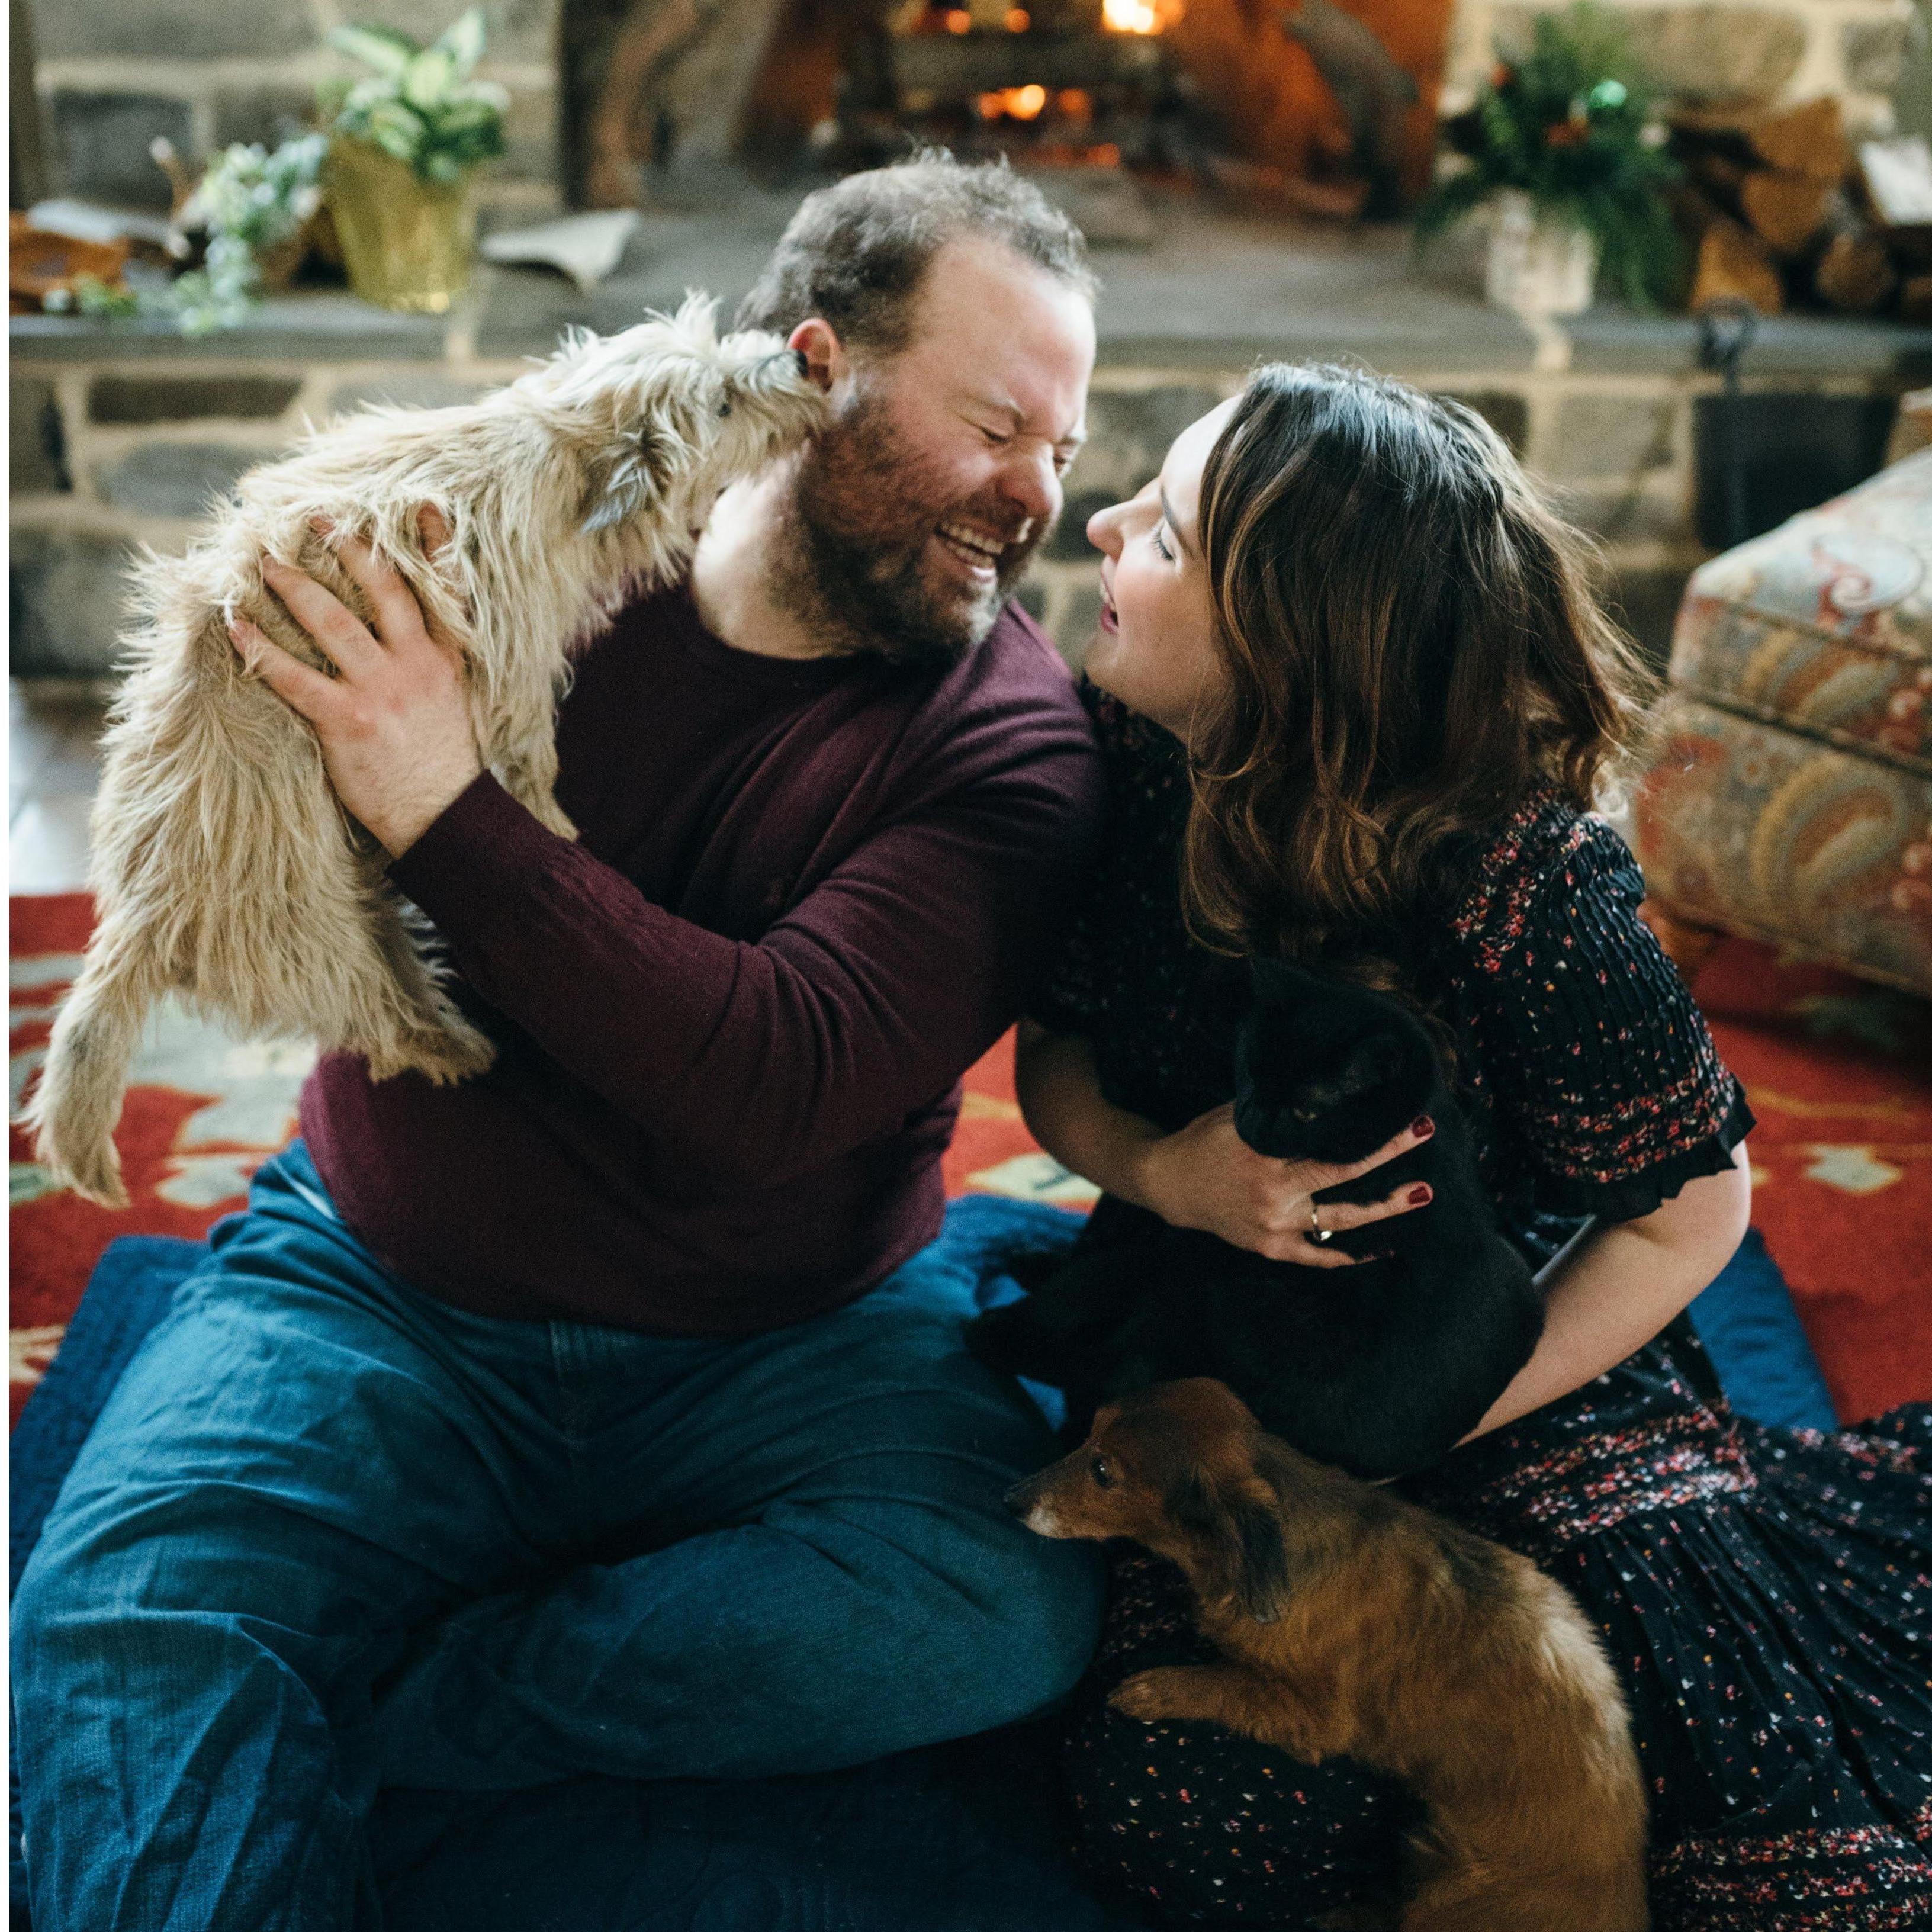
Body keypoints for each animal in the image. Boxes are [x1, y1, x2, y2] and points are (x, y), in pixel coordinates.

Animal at [24, 291, 823, 1198]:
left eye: (725, 352)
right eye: (721, 405)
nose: (801, 361)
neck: (554, 444)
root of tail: (141, 916)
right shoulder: (508, 642)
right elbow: (527, 745)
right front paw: (550, 824)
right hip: (321, 929)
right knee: (381, 1015)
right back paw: (454, 1045)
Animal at [973, 962, 1545, 1475]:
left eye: (1306, 1110)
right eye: (1250, 1069)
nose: (1250, 1118)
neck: (1410, 1149)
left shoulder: (1186, 1256)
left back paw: (994, 1329)